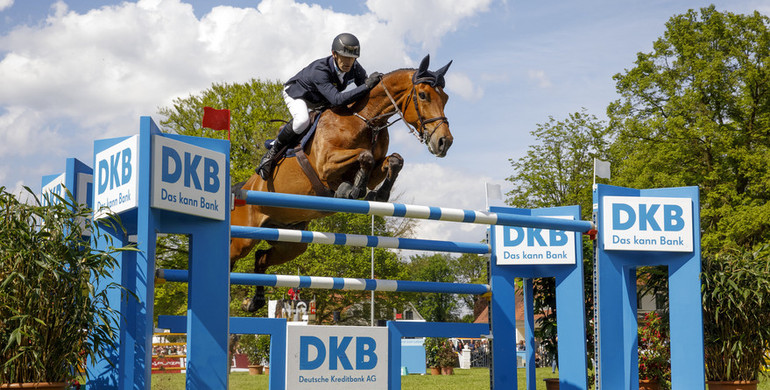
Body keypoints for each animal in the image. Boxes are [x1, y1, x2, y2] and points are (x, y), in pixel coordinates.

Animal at [226, 54, 450, 310]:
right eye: (423, 95)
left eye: (445, 98)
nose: (444, 142)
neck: (366, 120)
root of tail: (241, 188)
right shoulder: (326, 165)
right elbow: (365, 156)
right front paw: (351, 190)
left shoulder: (376, 168)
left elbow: (393, 160)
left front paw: (377, 195)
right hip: (244, 236)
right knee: (232, 256)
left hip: (291, 241)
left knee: (262, 257)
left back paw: (255, 302)